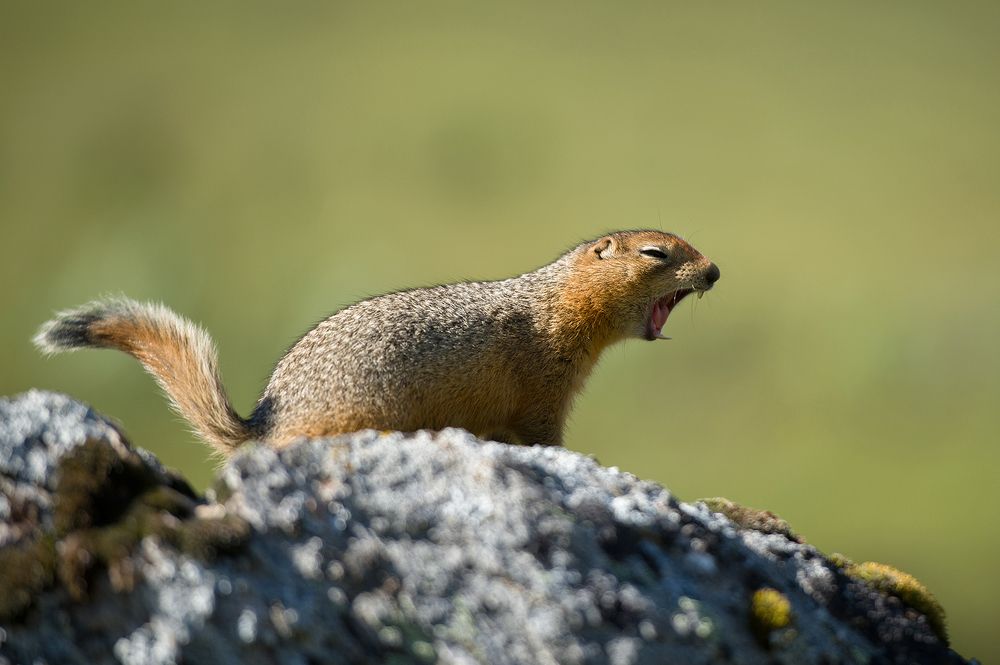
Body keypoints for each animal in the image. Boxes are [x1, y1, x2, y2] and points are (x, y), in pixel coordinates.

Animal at [34, 230, 719, 456]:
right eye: (656, 254)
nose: (714, 272)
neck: (559, 304)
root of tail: (261, 425)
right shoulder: (545, 383)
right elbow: (543, 431)